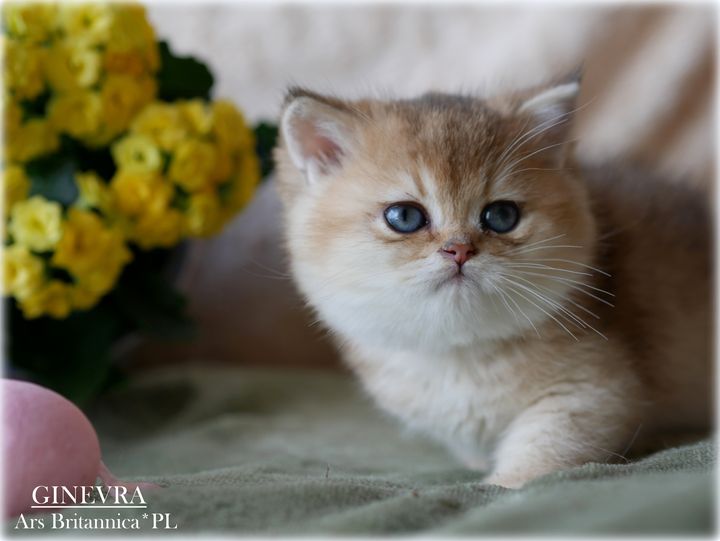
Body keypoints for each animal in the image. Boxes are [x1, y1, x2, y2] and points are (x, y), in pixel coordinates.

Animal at [273, 77, 712, 488]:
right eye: (404, 216)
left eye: (501, 216)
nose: (459, 250)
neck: (458, 355)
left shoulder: (593, 394)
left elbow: (543, 456)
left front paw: (503, 482)